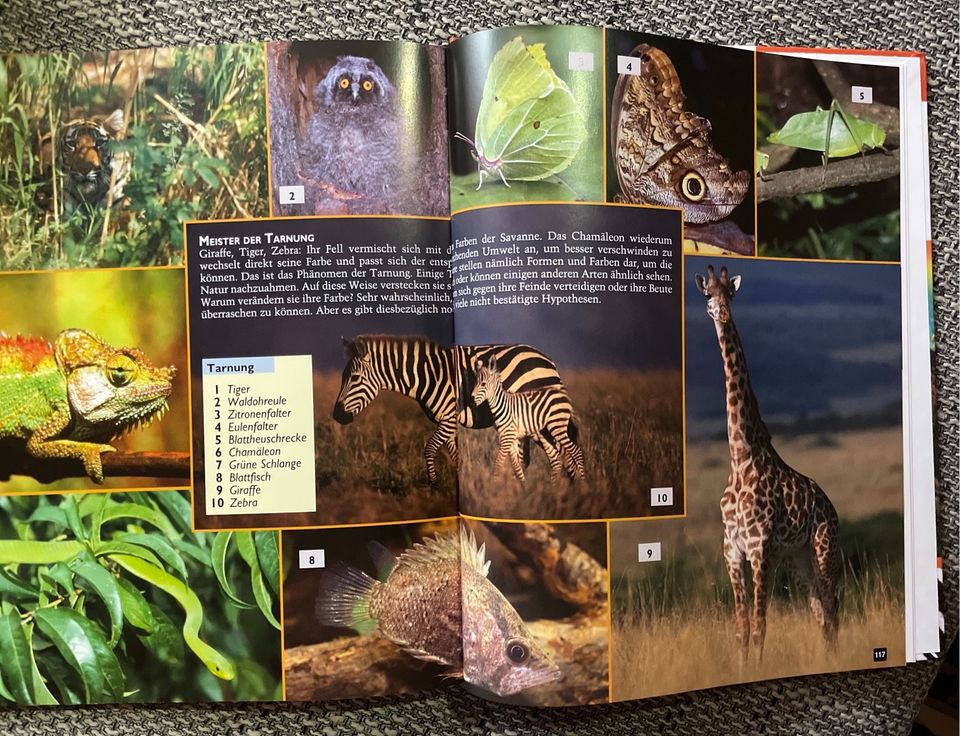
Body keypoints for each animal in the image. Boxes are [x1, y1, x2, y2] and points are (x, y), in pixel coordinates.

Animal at [334, 334, 572, 484]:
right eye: (343, 378)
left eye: (354, 378)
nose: (336, 415)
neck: (428, 375)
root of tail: (547, 359)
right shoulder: (445, 422)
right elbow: (455, 456)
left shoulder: (448, 419)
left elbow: (429, 448)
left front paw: (433, 484)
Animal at [470, 356, 584, 484]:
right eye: (474, 383)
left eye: (483, 384)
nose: (471, 402)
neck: (502, 405)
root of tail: (564, 395)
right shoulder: (511, 438)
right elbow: (517, 465)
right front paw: (523, 484)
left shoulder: (507, 437)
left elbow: (498, 463)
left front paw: (493, 484)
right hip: (545, 433)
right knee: (557, 459)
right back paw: (554, 486)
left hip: (557, 427)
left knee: (576, 452)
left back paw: (583, 483)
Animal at [696, 264, 840, 660]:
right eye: (708, 294)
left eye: (730, 294)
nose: (722, 314)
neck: (740, 456)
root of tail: (831, 506)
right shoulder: (733, 551)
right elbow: (742, 628)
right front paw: (743, 667)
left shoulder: (760, 548)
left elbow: (760, 626)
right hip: (797, 558)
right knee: (820, 611)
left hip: (822, 546)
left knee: (832, 606)